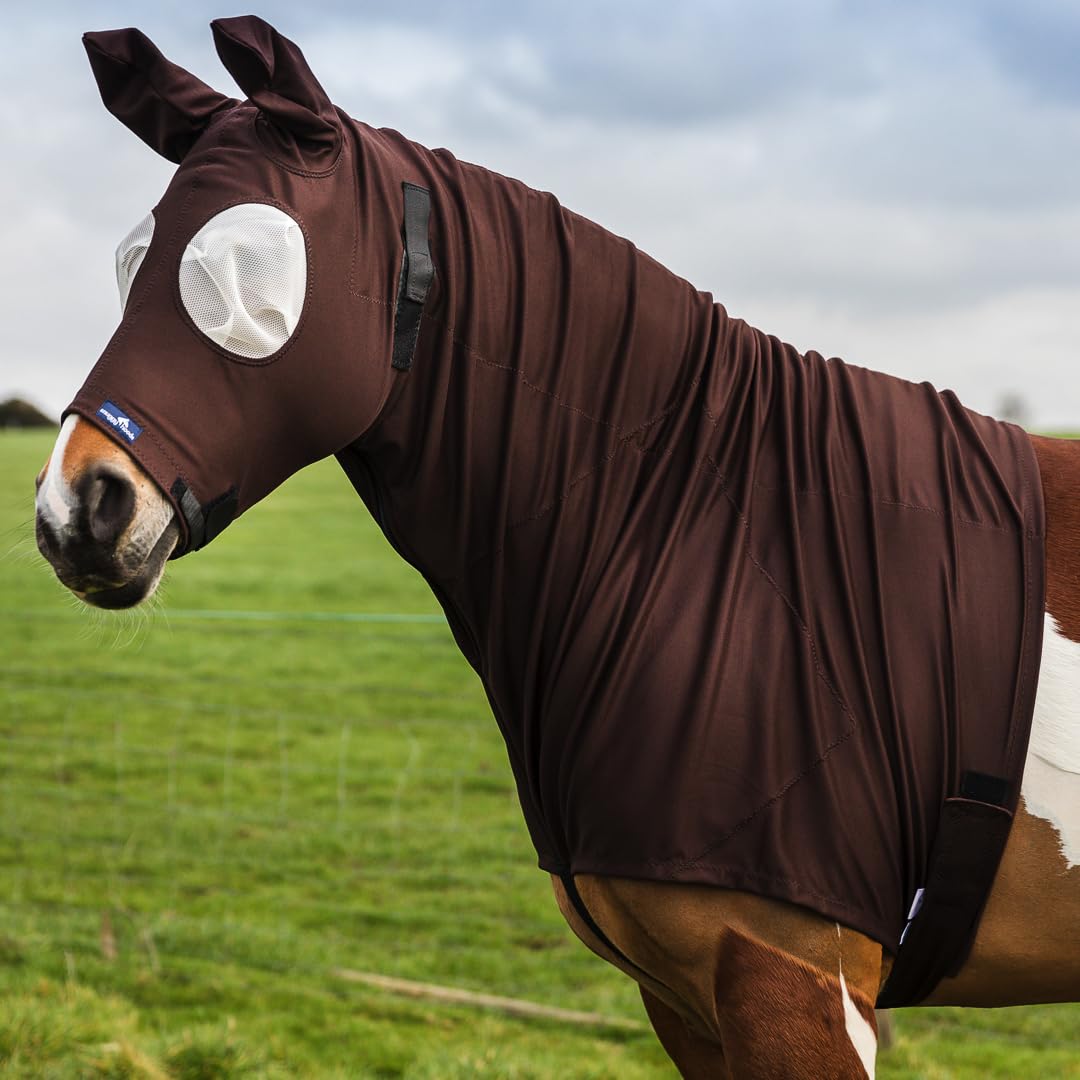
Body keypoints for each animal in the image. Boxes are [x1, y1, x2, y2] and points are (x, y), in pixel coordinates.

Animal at [33, 17, 1079, 1078]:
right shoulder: (687, 1000)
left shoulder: (794, 981)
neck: (720, 538)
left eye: (240, 275)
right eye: (131, 267)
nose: (76, 510)